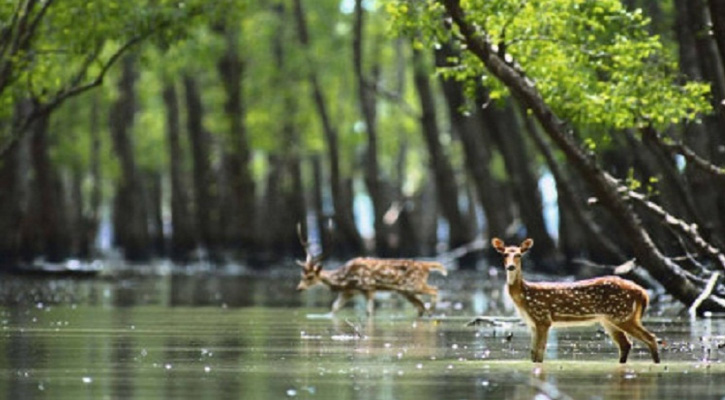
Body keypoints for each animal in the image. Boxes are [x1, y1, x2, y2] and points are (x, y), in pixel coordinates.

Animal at [296, 228, 446, 316]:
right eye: (301, 275)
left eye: (310, 276)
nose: (299, 288)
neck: (345, 279)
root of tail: (426, 265)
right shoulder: (348, 292)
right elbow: (334, 308)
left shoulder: (368, 288)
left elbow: (369, 312)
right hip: (406, 291)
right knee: (420, 306)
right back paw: (427, 313)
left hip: (413, 285)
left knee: (435, 290)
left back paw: (432, 310)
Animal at [490, 238, 660, 366]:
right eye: (504, 254)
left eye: (519, 255)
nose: (511, 267)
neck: (524, 296)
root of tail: (642, 292)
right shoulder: (532, 323)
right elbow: (533, 354)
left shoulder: (543, 318)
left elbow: (539, 353)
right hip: (610, 319)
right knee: (626, 344)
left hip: (622, 315)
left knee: (650, 338)